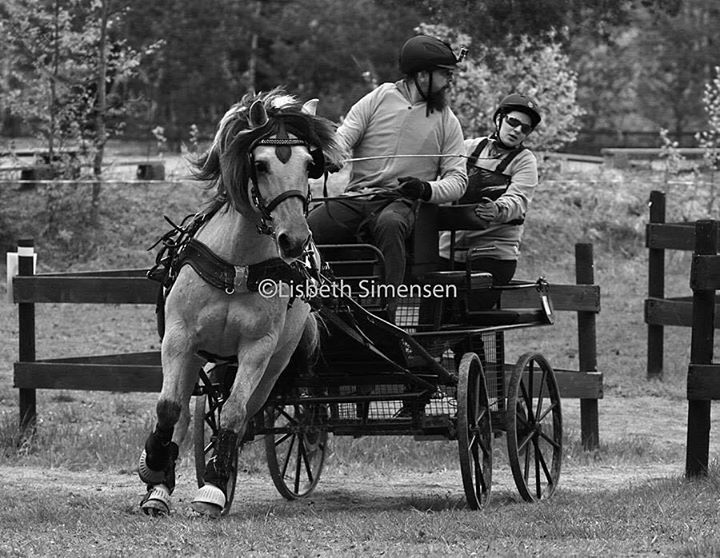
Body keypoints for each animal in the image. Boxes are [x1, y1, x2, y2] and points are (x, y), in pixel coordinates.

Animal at [137, 88, 338, 518]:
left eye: (309, 164)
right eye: (260, 164)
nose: (295, 240)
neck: (238, 264)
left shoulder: (258, 350)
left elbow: (232, 413)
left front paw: (213, 488)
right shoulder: (179, 338)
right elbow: (168, 409)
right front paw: (155, 467)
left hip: (274, 367)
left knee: (245, 413)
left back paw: (219, 472)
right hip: (195, 356)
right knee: (181, 413)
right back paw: (160, 489)